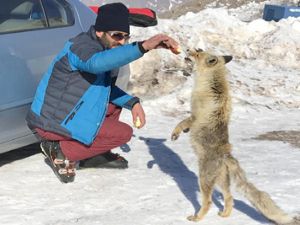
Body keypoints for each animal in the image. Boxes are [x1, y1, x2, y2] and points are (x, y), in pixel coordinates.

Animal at [170, 49, 298, 225]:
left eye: (198, 53)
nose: (187, 49)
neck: (211, 83)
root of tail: (226, 155)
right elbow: (185, 125)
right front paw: (184, 132)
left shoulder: (194, 115)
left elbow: (182, 123)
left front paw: (176, 133)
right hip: (222, 181)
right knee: (230, 198)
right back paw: (225, 215)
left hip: (204, 179)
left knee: (208, 202)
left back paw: (197, 218)